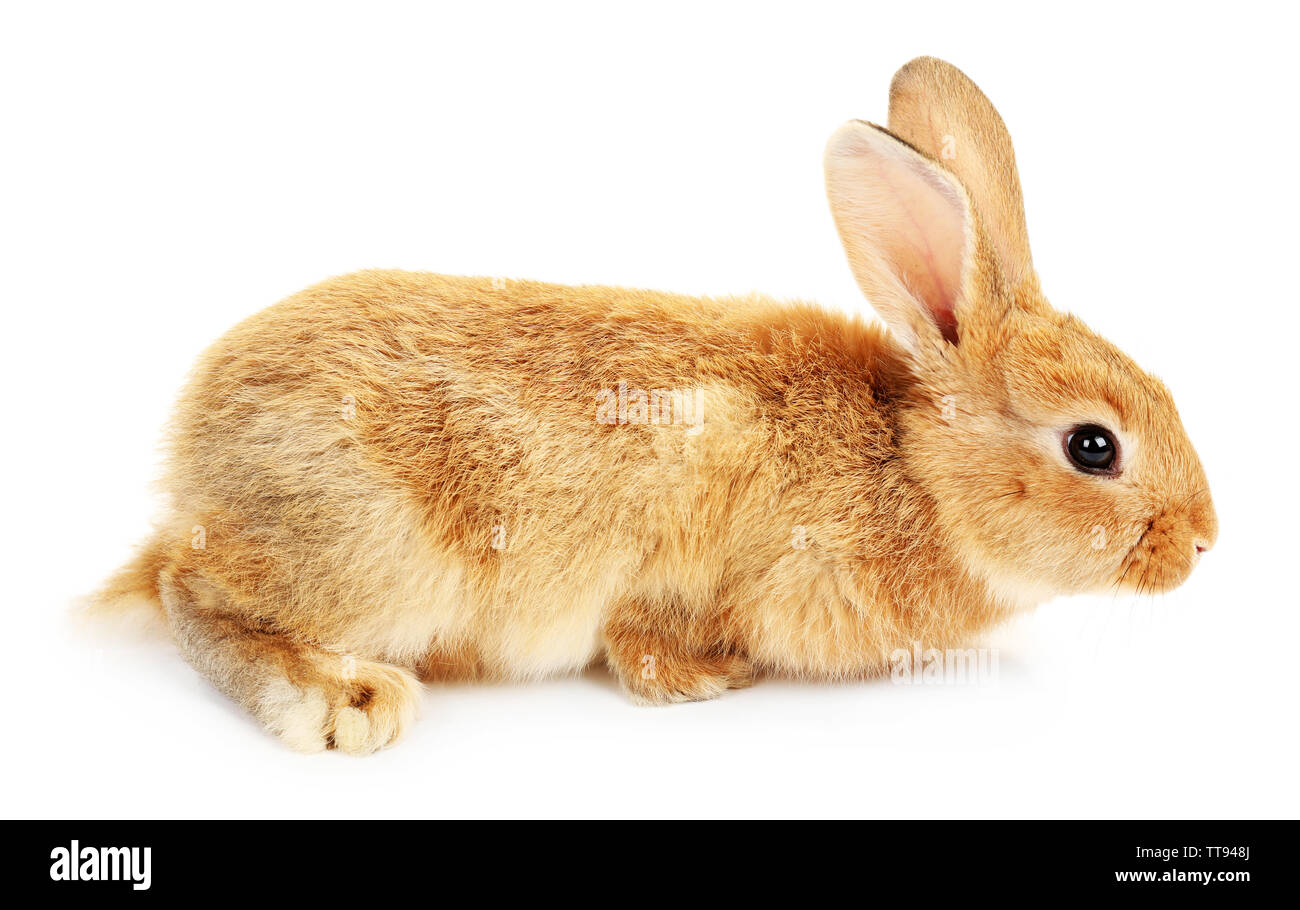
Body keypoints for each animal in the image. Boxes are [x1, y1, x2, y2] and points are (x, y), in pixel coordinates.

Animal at [93, 56, 1216, 754]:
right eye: (1093, 446)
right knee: (197, 596)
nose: (1204, 540)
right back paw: (344, 700)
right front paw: (705, 681)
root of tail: (194, 471)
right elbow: (647, 634)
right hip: (374, 555)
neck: (916, 472)